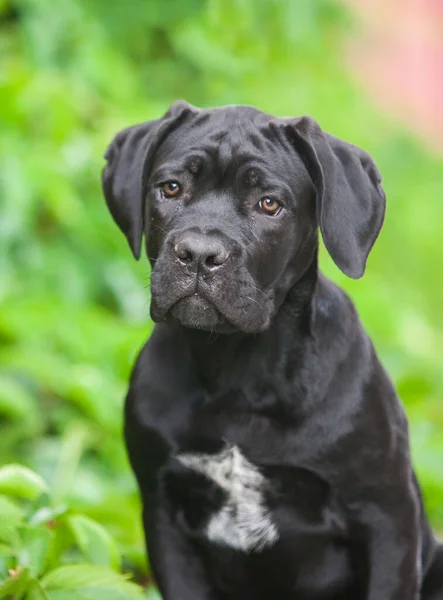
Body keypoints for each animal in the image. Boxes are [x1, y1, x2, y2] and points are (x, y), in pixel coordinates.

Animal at [101, 101, 443, 596]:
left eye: (269, 204)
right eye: (170, 188)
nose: (199, 253)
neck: (240, 373)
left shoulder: (386, 517)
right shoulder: (164, 513)